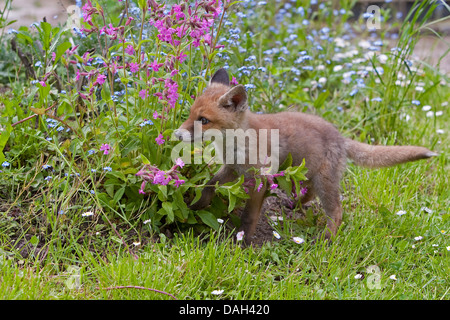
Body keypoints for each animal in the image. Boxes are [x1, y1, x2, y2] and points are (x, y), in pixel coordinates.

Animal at [175, 68, 436, 245]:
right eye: (190, 115)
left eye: (204, 120)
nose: (176, 134)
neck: (234, 145)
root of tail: (340, 136)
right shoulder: (232, 168)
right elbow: (209, 184)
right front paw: (198, 205)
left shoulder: (260, 178)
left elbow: (249, 216)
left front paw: (245, 242)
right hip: (308, 174)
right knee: (308, 192)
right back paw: (295, 205)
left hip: (324, 181)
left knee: (336, 211)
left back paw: (327, 239)